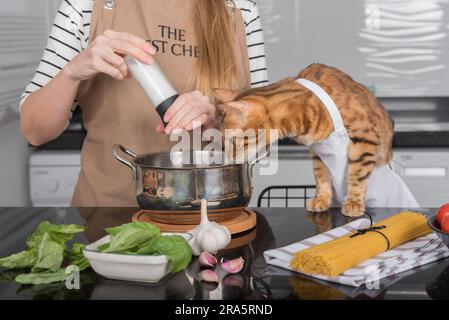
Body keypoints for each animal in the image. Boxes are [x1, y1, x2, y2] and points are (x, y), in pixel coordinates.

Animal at [215, 63, 394, 218]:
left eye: (232, 141)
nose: (228, 159)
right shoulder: (318, 151)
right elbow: (321, 176)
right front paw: (321, 199)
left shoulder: (364, 137)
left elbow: (357, 174)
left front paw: (353, 202)